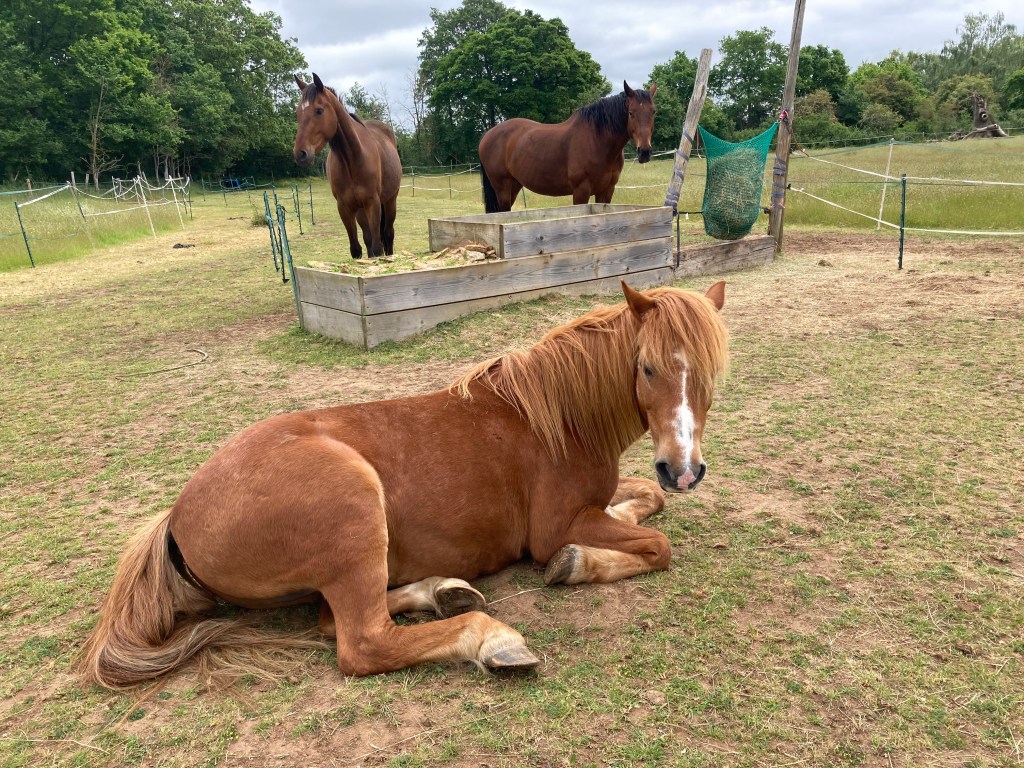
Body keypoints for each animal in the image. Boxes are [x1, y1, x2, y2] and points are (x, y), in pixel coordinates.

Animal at [79, 280, 728, 688]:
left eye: (712, 372)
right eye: (647, 367)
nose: (684, 468)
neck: (556, 417)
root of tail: (176, 521)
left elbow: (646, 501)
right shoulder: (557, 525)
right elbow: (656, 545)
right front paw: (576, 563)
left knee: (334, 620)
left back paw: (444, 591)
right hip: (356, 513)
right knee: (361, 641)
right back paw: (489, 638)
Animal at [292, 73, 402, 259]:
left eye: (319, 110)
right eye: (298, 112)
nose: (300, 154)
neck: (352, 160)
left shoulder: (372, 203)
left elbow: (377, 247)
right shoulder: (344, 207)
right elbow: (357, 249)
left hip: (389, 201)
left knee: (388, 235)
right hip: (360, 210)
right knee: (368, 239)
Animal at [478, 81, 657, 213]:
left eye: (653, 112)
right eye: (631, 113)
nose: (644, 151)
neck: (597, 141)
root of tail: (487, 135)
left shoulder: (607, 190)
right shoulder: (581, 191)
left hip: (514, 185)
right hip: (502, 187)